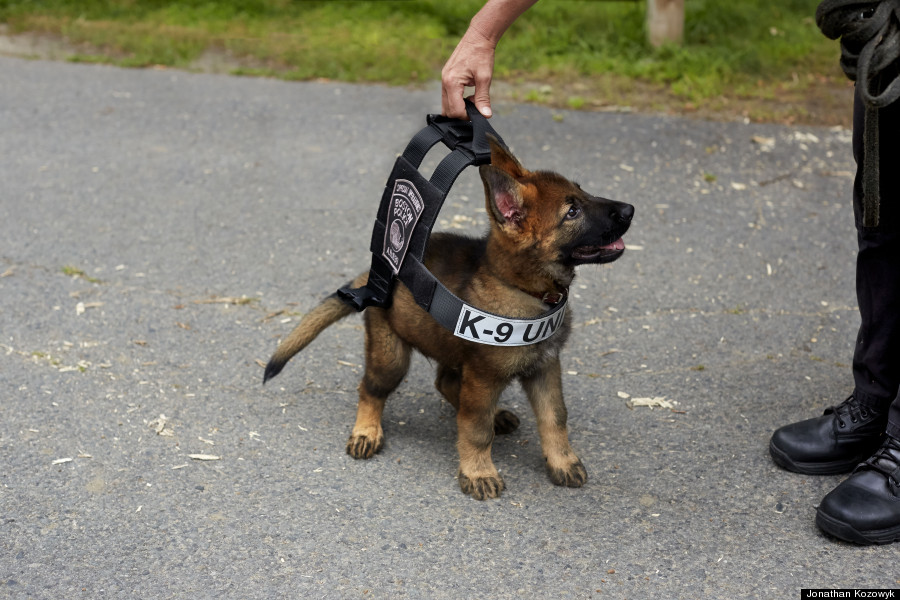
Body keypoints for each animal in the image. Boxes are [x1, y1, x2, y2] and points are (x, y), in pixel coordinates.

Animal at [266, 138, 632, 500]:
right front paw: (479, 471)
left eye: (583, 193)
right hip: (391, 356)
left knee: (446, 384)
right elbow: (475, 429)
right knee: (371, 388)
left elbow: (554, 417)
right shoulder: (484, 377)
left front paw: (562, 461)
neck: (522, 289)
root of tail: (374, 275)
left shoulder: (545, 366)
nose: (630, 209)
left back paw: (495, 415)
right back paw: (366, 431)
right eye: (572, 212)